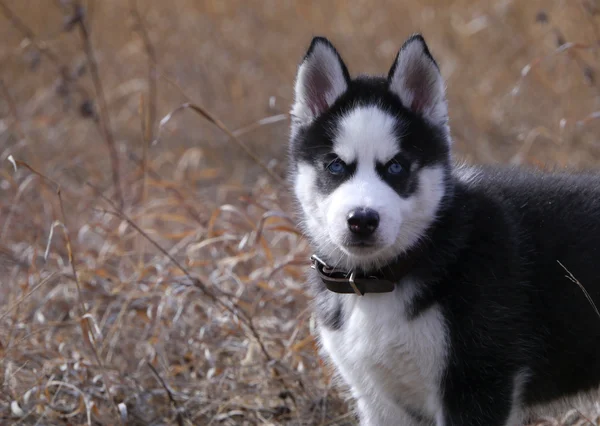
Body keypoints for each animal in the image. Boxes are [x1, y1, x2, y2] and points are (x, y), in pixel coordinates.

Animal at [290, 34, 600, 426]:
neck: (380, 281)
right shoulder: (379, 400)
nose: (362, 220)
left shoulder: (477, 386)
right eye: (335, 166)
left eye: (396, 167)